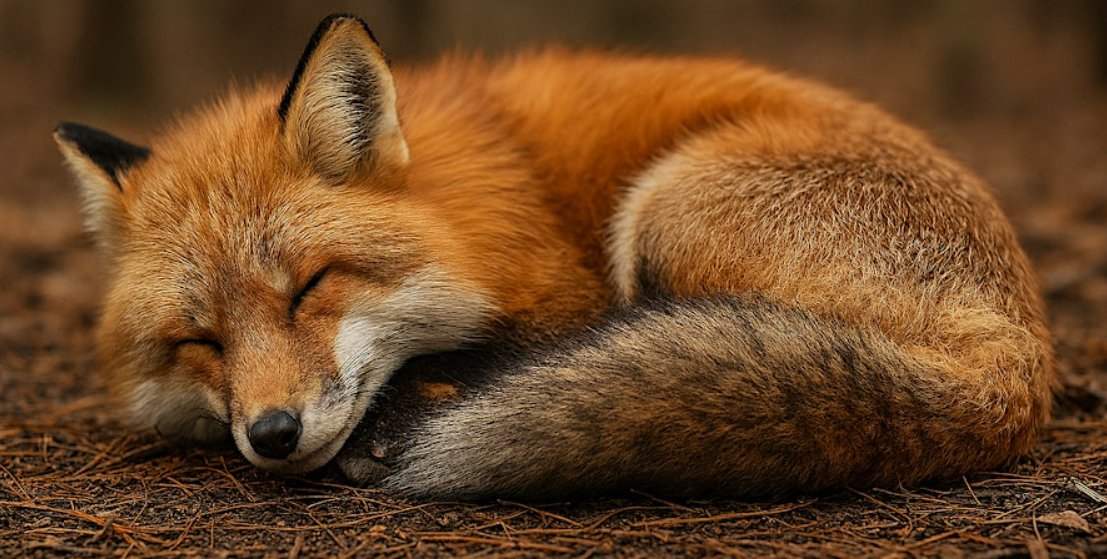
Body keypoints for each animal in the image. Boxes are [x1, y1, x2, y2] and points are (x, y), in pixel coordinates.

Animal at [54, 13, 1055, 500]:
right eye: (200, 342)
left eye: (310, 287)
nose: (271, 433)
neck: (472, 209)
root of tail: (1018, 363)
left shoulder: (566, 285)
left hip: (665, 209)